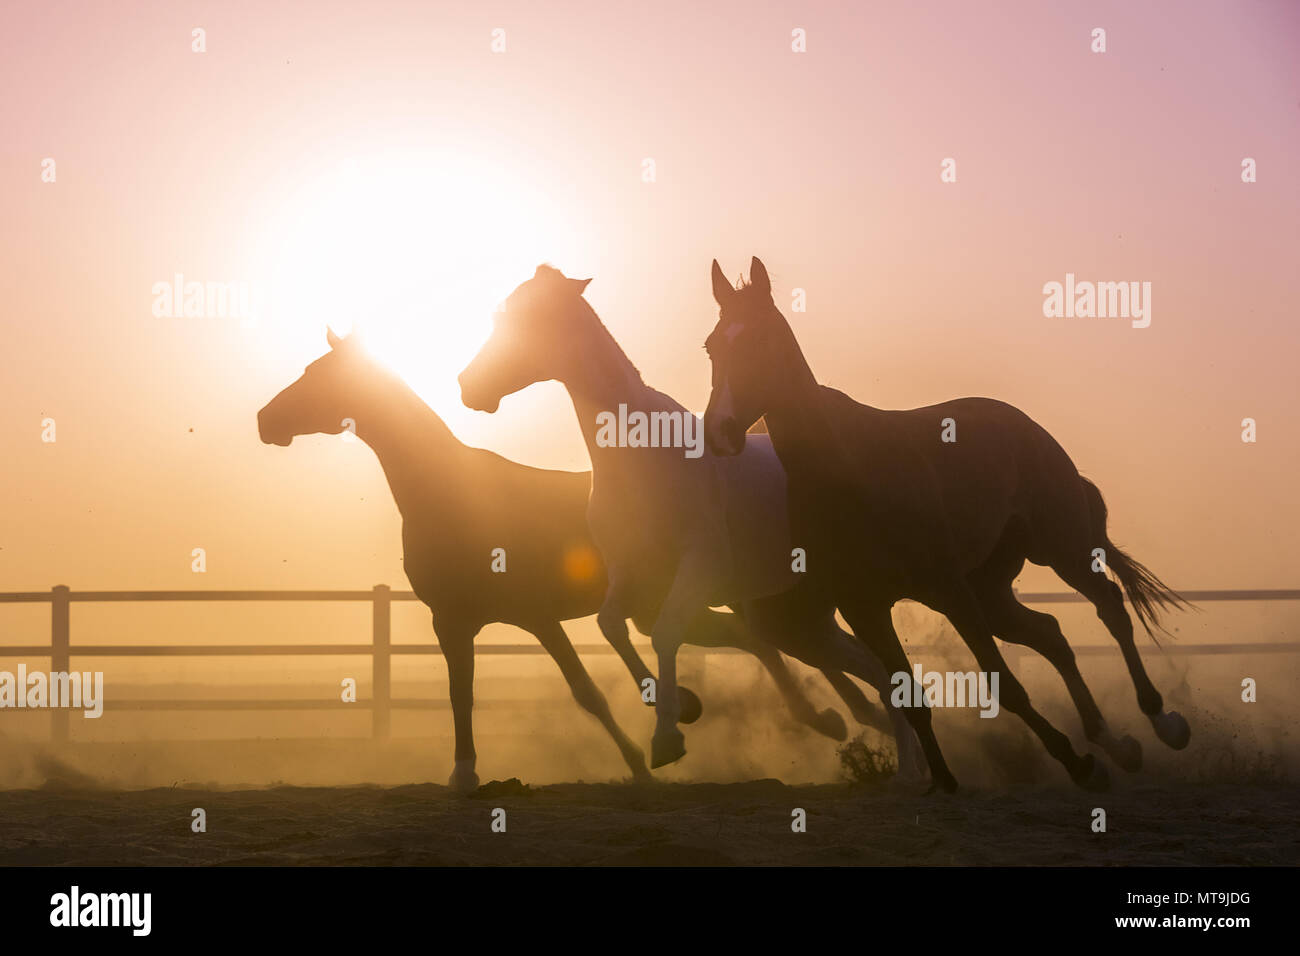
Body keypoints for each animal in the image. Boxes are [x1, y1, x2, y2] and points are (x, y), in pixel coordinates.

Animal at [257, 328, 899, 791]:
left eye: (316, 375)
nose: (266, 421)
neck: (447, 494)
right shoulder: (452, 622)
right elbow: (463, 694)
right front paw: (464, 773)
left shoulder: (537, 617)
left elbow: (586, 692)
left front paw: (642, 761)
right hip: (669, 603)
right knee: (756, 637)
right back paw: (836, 716)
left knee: (770, 639)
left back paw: (839, 715)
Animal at [458, 266, 922, 775]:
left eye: (532, 319)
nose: (468, 385)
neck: (639, 458)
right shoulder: (631, 574)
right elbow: (611, 625)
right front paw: (680, 705)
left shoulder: (700, 566)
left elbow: (665, 633)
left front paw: (668, 735)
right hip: (797, 619)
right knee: (871, 668)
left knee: (881, 669)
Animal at [701, 256, 1190, 792]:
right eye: (712, 346)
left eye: (761, 338)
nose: (720, 430)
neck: (851, 472)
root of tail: (1027, 428)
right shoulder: (865, 608)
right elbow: (909, 697)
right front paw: (941, 779)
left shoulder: (948, 589)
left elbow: (1007, 688)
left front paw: (1078, 763)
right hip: (991, 588)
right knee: (1050, 634)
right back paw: (1115, 744)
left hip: (1059, 547)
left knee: (1110, 608)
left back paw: (1162, 725)